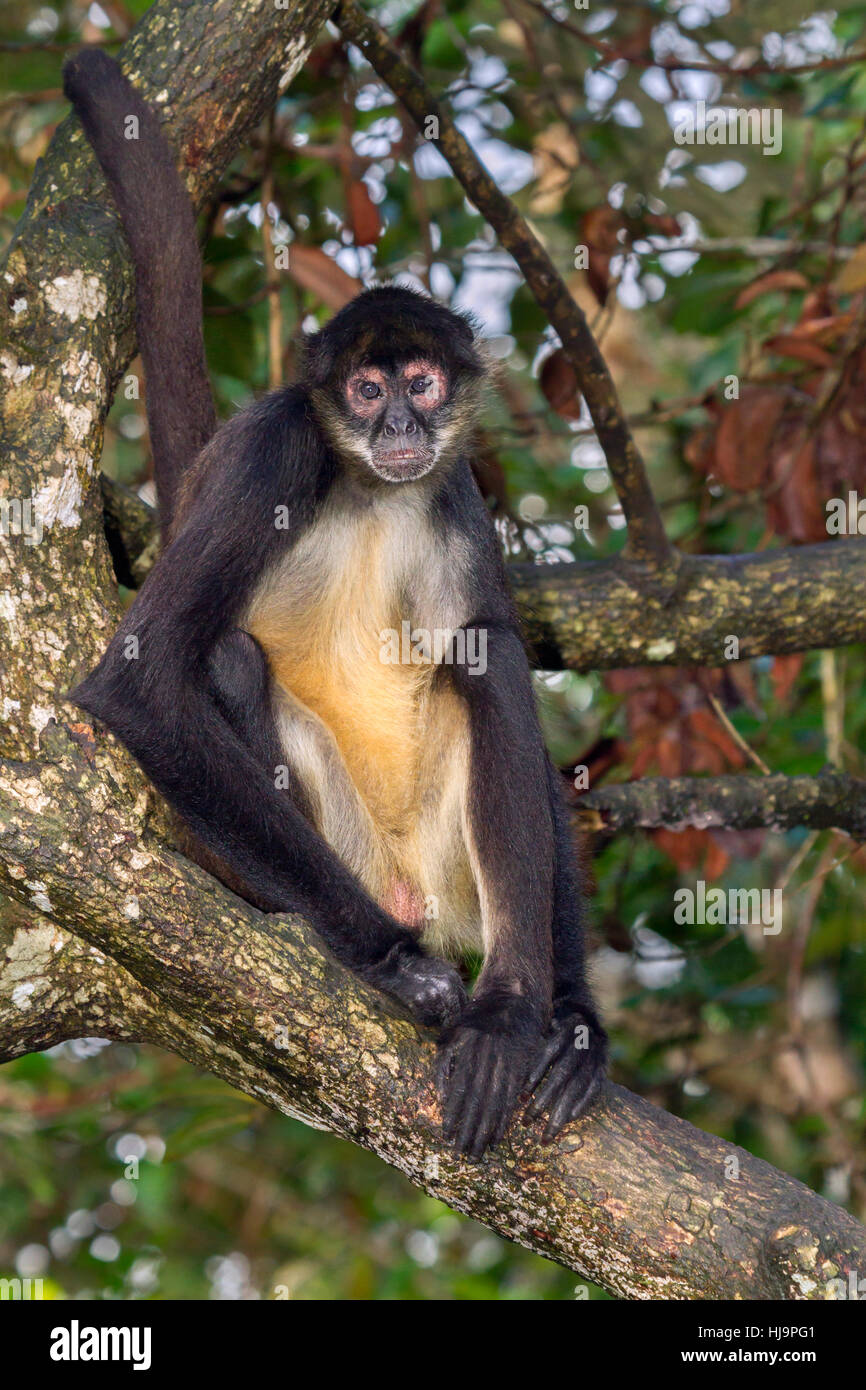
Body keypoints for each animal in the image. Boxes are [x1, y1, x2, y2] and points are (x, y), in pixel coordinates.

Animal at [62, 49, 606, 1159]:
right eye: (364, 391)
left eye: (421, 382)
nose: (399, 424)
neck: (369, 484)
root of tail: (401, 877)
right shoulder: (276, 446)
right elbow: (137, 687)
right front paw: (394, 968)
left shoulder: (451, 489)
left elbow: (498, 668)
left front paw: (557, 1019)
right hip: (337, 844)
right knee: (225, 659)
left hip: (446, 853)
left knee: (484, 660)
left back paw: (520, 1010)